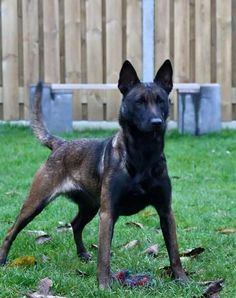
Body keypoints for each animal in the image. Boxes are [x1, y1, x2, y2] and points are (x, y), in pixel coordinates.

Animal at [0, 60, 188, 288]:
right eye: (139, 102)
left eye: (161, 101)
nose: (156, 123)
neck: (143, 155)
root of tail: (60, 144)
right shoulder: (108, 213)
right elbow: (104, 255)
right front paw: (104, 285)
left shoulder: (165, 211)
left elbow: (174, 252)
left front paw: (183, 280)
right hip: (36, 203)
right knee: (11, 231)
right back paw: (3, 260)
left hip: (90, 205)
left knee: (75, 224)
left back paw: (82, 254)